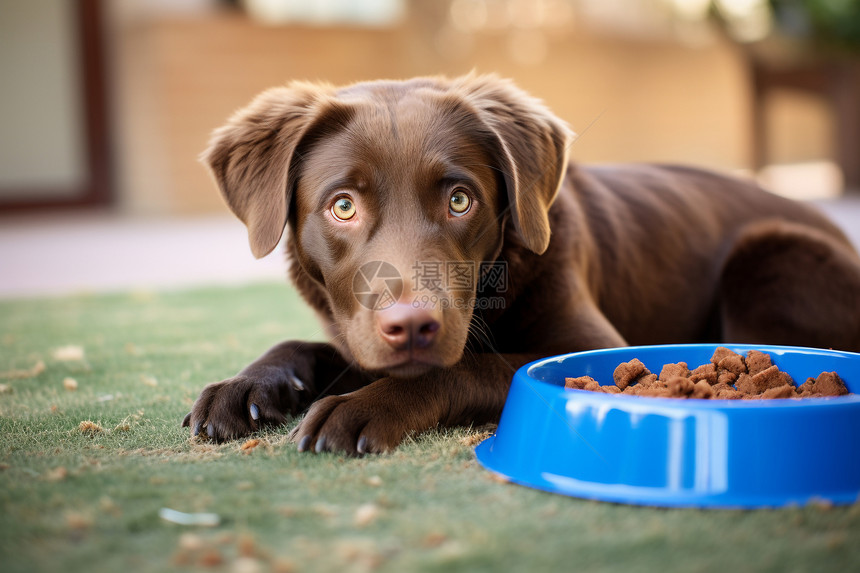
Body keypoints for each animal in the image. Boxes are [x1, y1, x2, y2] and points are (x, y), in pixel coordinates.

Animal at [185, 73, 860, 454]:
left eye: (460, 200)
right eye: (342, 206)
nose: (413, 327)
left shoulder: (595, 343)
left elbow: (469, 366)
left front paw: (362, 404)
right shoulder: (356, 331)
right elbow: (308, 346)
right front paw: (246, 387)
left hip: (769, 254)